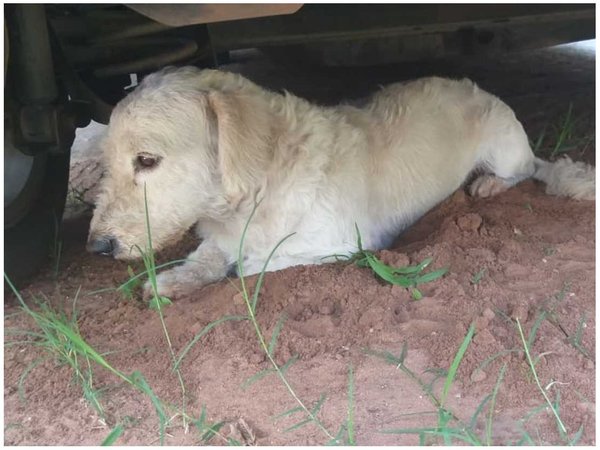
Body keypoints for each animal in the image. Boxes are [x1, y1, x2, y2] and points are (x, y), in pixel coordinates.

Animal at [85, 67, 596, 298]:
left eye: (147, 160)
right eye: (106, 161)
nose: (97, 247)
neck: (262, 185)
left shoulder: (340, 244)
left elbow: (249, 267)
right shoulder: (222, 234)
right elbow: (208, 257)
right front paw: (175, 279)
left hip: (505, 148)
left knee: (526, 170)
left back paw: (491, 184)